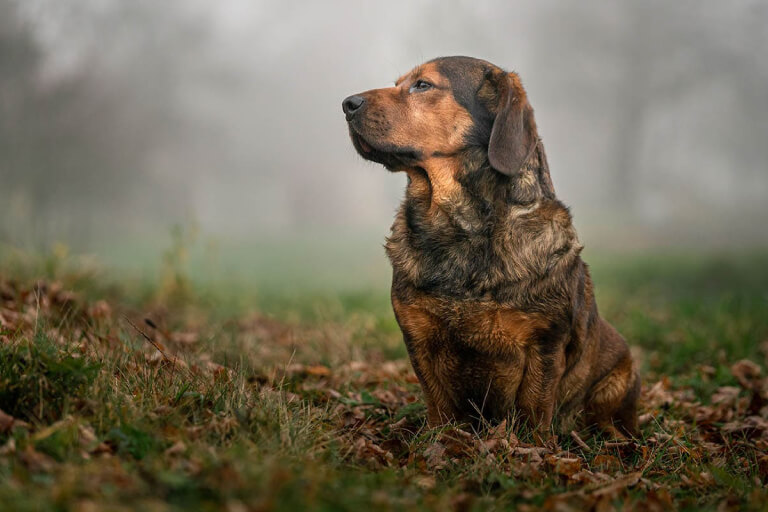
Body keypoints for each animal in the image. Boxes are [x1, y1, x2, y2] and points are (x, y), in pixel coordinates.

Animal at [344, 57, 640, 440]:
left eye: (422, 85)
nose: (347, 104)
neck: (461, 228)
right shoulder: (420, 338)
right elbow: (439, 407)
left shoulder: (544, 345)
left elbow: (533, 411)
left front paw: (533, 448)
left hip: (620, 375)